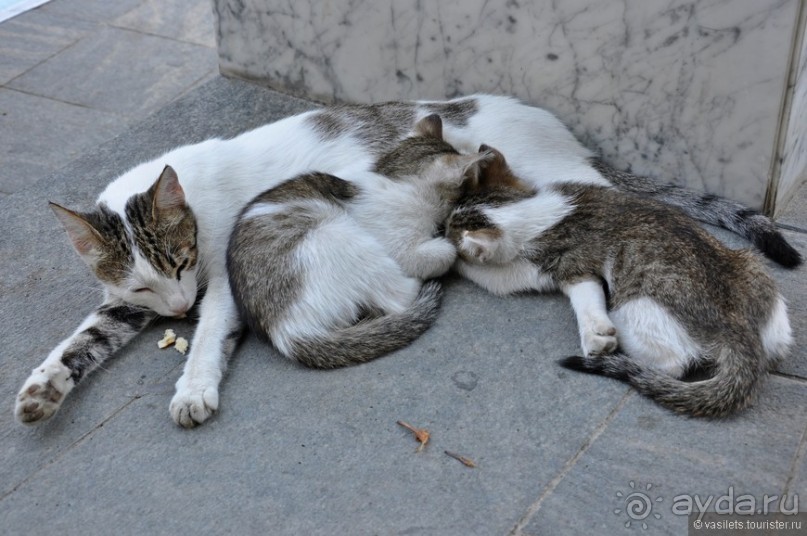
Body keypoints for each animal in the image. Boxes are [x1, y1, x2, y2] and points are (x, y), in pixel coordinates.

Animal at [448, 148, 796, 418]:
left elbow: (494, 276)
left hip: (632, 308)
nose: (443, 227)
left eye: (450, 227)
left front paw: (451, 255)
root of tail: (740, 331)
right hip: (755, 268)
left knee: (674, 364)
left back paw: (621, 360)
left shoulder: (557, 266)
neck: (539, 211)